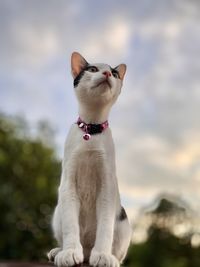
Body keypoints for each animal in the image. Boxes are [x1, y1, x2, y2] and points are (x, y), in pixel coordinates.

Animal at [47, 52, 132, 267]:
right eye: (93, 69)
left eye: (115, 74)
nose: (107, 73)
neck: (91, 132)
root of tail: (86, 251)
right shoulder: (68, 184)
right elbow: (71, 226)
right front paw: (69, 252)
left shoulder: (107, 186)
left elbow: (105, 228)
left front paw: (102, 255)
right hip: (58, 212)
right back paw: (59, 251)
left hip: (123, 221)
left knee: (118, 252)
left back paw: (110, 258)